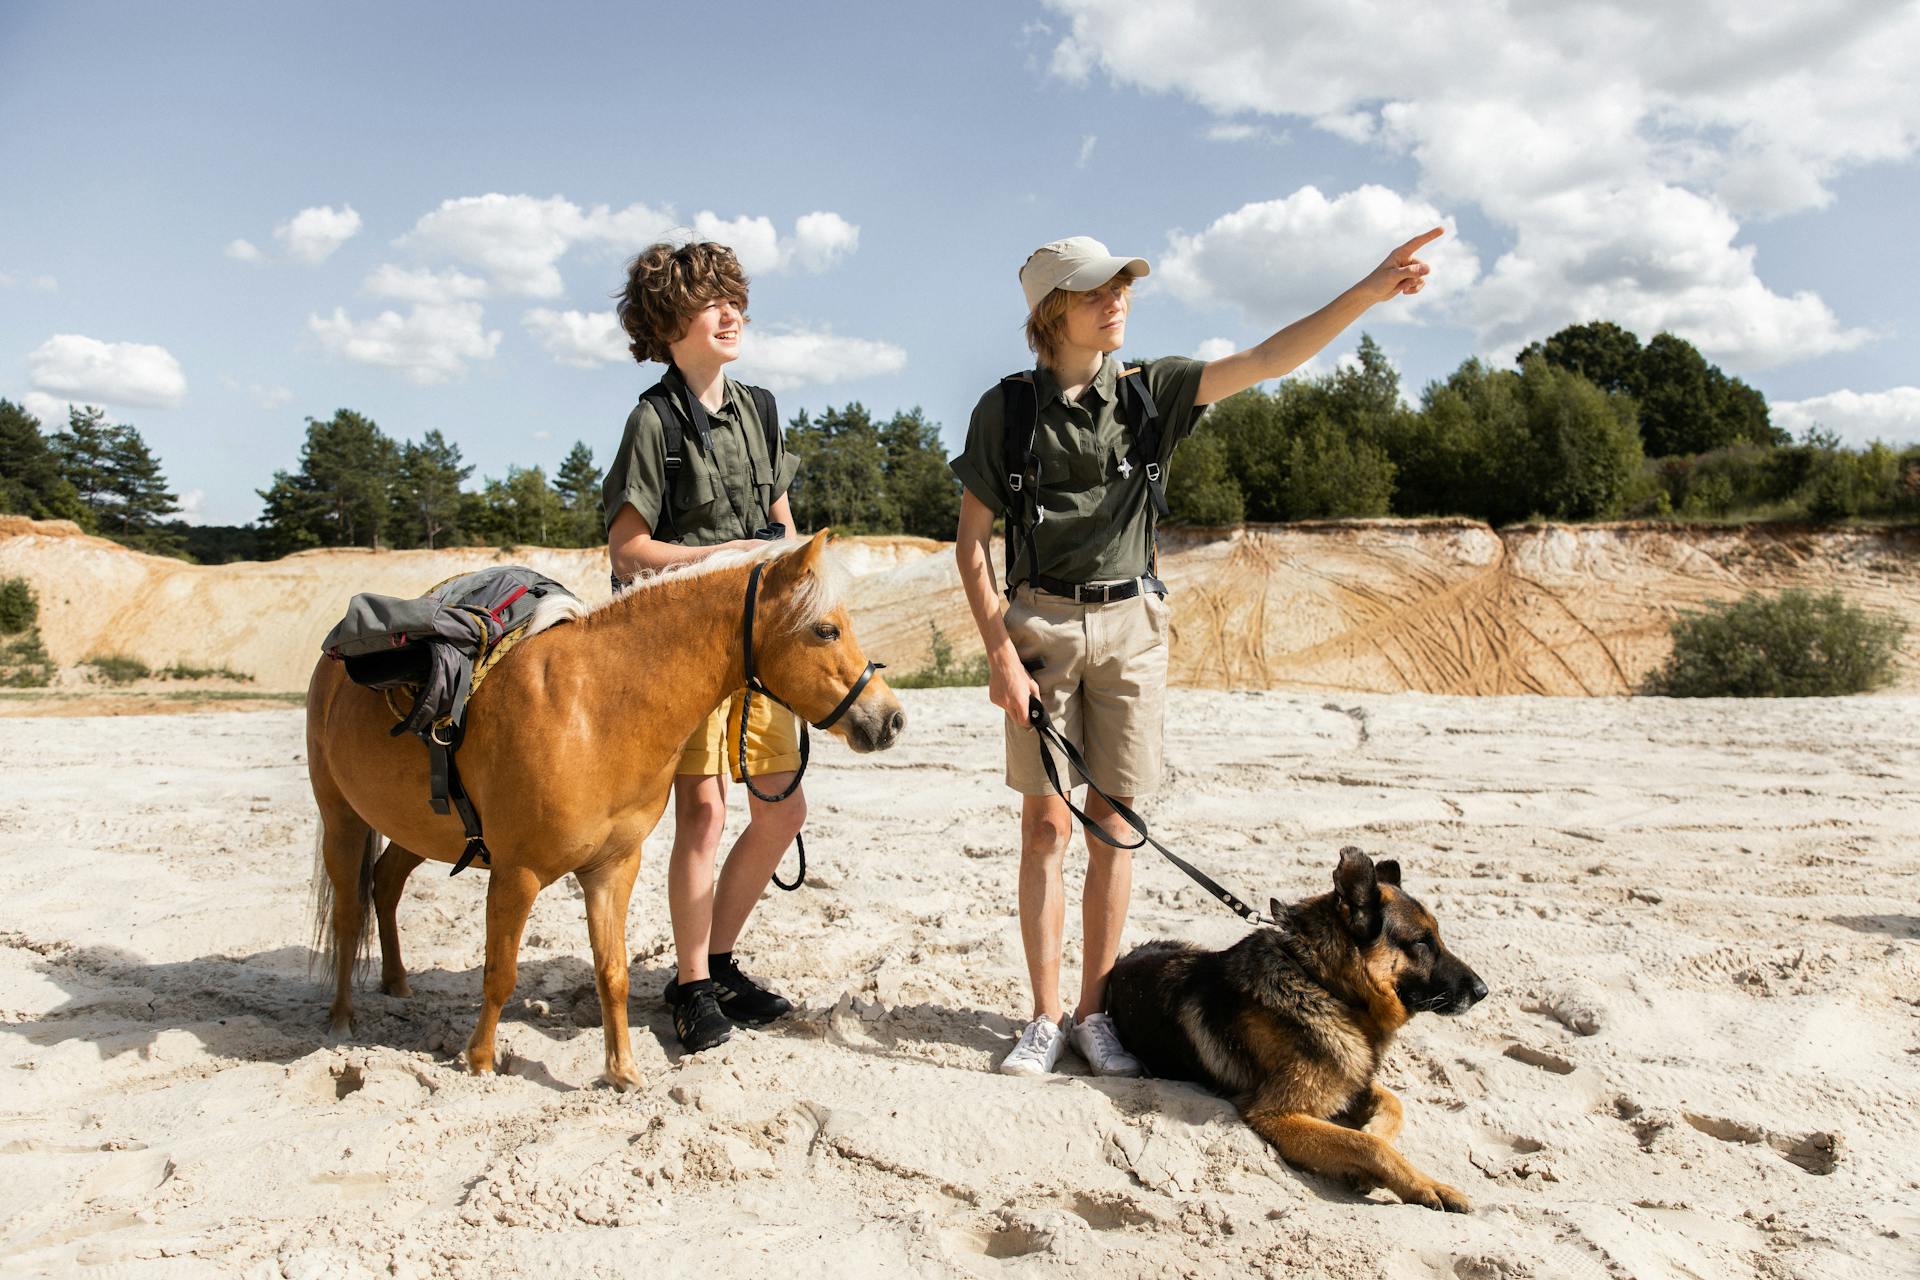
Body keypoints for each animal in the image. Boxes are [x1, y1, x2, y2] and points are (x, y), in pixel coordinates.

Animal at [303, 529, 902, 1090]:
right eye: (826, 630)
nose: (891, 719)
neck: (592, 711)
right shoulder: (516, 873)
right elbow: (501, 972)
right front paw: (479, 1060)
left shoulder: (612, 868)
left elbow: (612, 972)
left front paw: (622, 1071)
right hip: (342, 819)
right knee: (348, 911)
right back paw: (341, 1017)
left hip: (414, 830)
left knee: (384, 884)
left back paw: (397, 983)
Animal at [1105, 852, 1489, 1212]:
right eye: (1421, 942)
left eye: (1436, 936)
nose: (1483, 991)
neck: (1321, 983)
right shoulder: (1274, 1114)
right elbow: (1364, 1143)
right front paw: (1426, 1185)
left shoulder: (1350, 1076)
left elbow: (1393, 1106)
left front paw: (1374, 1135)